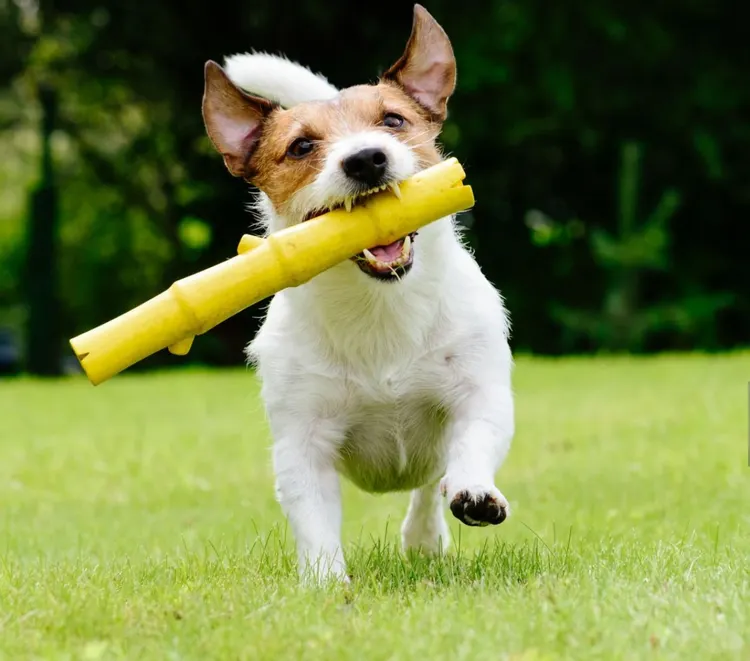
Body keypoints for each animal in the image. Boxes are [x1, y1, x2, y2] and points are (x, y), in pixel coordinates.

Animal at [203, 5, 516, 584]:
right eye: (302, 146)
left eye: (392, 121)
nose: (366, 159)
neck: (379, 308)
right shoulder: (302, 442)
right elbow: (314, 520)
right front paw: (326, 585)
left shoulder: (478, 390)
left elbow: (473, 439)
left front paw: (475, 492)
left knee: (428, 486)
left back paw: (425, 536)